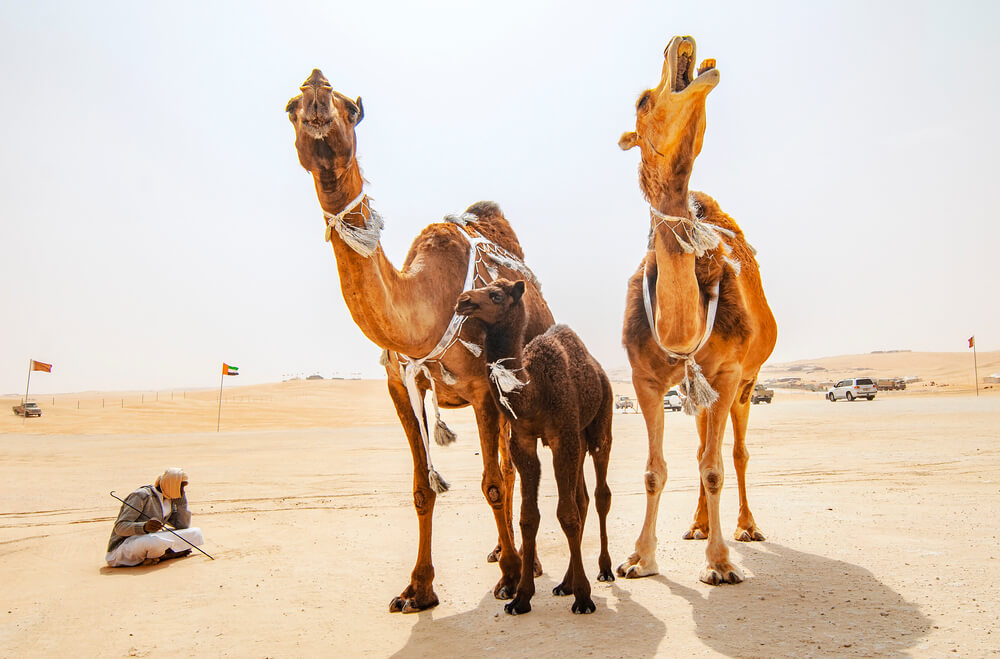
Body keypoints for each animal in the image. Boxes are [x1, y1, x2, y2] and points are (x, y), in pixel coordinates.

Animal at [284, 69, 556, 612]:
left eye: (351, 108)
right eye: (289, 108)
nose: (316, 88)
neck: (426, 306)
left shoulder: (483, 390)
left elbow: (493, 483)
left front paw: (511, 580)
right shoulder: (400, 385)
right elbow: (421, 489)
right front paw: (418, 589)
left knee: (513, 469)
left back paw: (525, 562)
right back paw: (502, 552)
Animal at [456, 280, 612, 620]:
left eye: (495, 295)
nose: (462, 301)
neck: (534, 391)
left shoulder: (561, 438)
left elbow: (566, 514)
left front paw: (584, 598)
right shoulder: (524, 441)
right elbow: (529, 517)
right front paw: (521, 598)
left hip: (598, 429)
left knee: (599, 495)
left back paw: (604, 571)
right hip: (578, 438)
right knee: (582, 498)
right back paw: (565, 583)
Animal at [612, 37, 776, 588]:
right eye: (643, 100)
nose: (677, 42)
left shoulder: (726, 372)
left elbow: (715, 467)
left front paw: (721, 563)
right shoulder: (644, 378)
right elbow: (653, 470)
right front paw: (639, 558)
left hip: (747, 380)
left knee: (734, 452)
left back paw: (745, 527)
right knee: (706, 441)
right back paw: (698, 525)